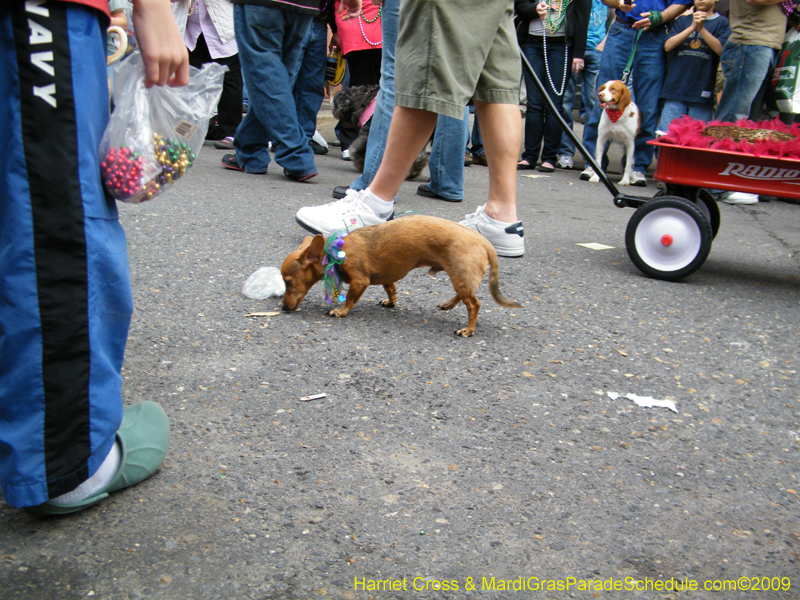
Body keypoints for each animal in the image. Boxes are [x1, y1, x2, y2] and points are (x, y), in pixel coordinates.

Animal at [280, 216, 520, 338]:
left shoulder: (359, 281)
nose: (283, 308)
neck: (338, 251)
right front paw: (391, 302)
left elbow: (350, 299)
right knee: (464, 296)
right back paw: (447, 305)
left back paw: (468, 330)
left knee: (474, 305)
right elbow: (391, 289)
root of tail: (485, 243)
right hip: (460, 278)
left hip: (460, 276)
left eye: (288, 282)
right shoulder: (387, 277)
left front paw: (340, 311)